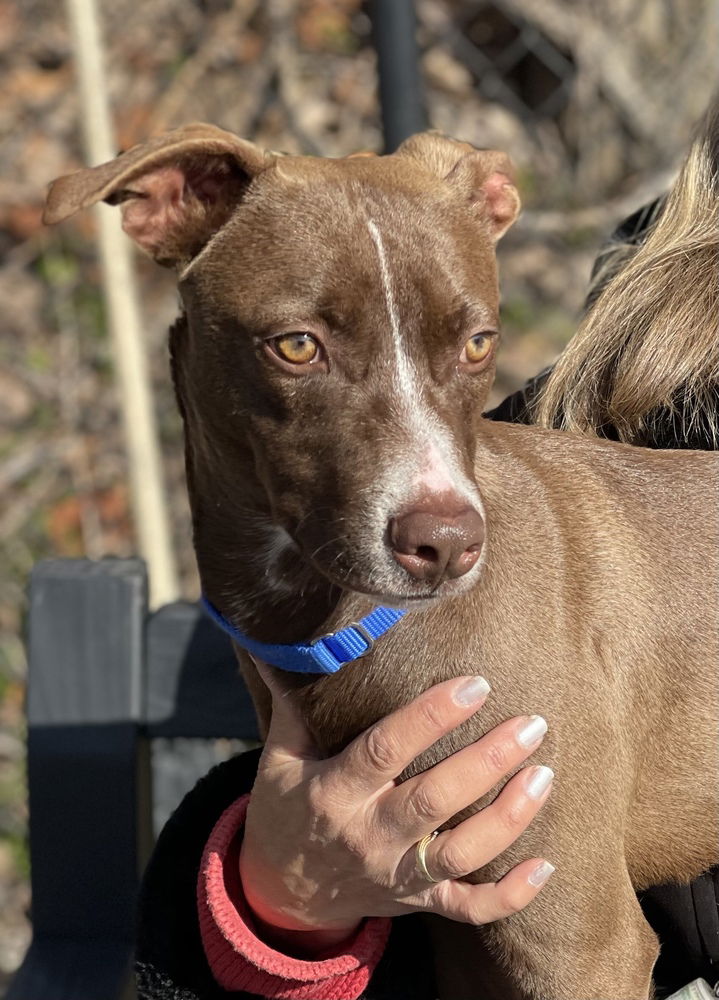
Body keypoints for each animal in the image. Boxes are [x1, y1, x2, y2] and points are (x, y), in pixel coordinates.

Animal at [46, 119, 719, 1000]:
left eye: (477, 343)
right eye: (297, 345)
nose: (447, 544)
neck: (334, 623)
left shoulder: (575, 937)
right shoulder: (463, 940)